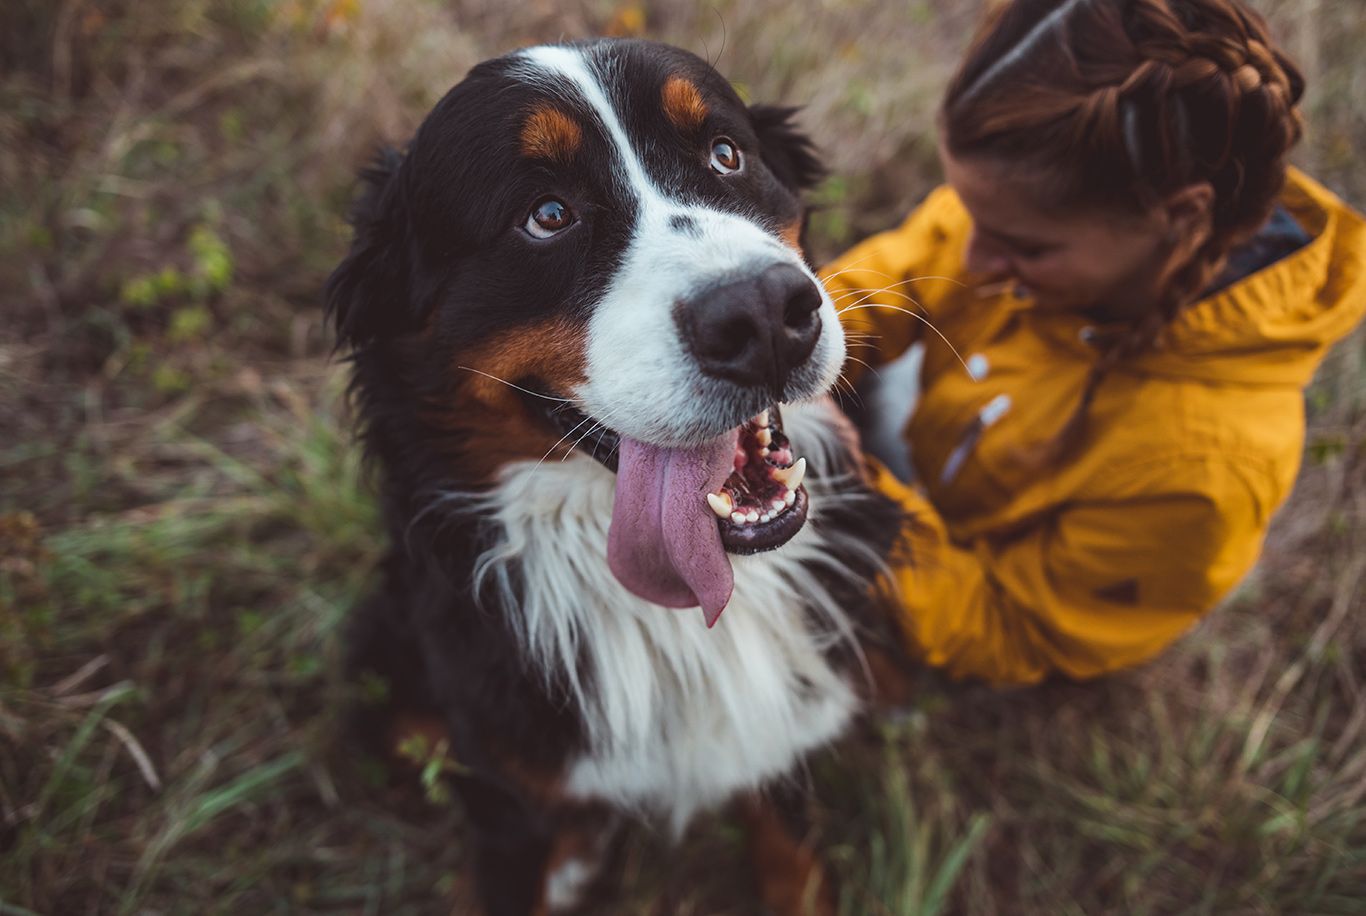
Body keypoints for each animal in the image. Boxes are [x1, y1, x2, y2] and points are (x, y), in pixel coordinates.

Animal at [327, 37, 907, 916]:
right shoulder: (509, 786)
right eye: (546, 216)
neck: (677, 613)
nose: (765, 317)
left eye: (726, 154)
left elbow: (789, 849)